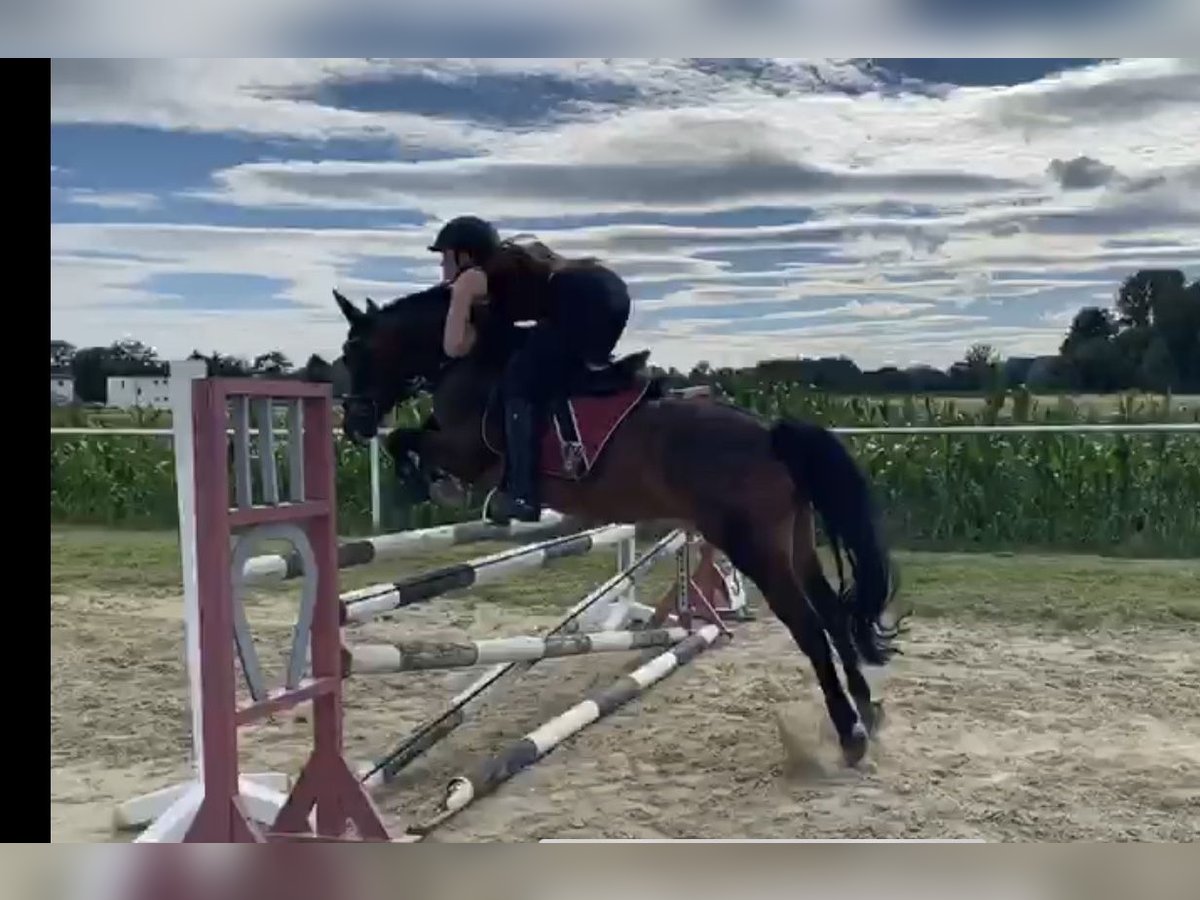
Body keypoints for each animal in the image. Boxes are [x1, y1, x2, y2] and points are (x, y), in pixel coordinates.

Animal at [328, 285, 902, 763]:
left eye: (354, 350)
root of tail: (770, 433)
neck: (472, 360)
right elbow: (413, 435)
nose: (354, 422)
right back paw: (867, 712)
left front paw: (428, 483)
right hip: (794, 540)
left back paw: (849, 734)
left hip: (754, 547)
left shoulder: (470, 452)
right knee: (833, 613)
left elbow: (409, 440)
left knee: (809, 627)